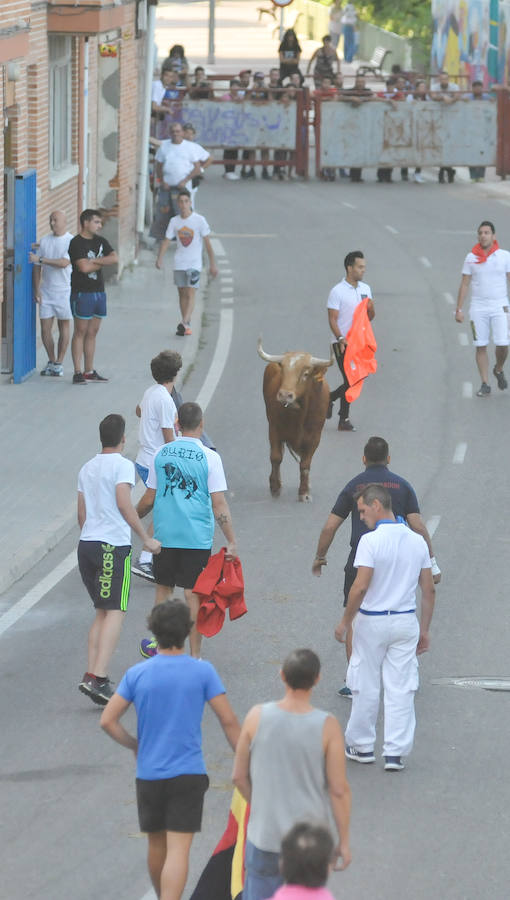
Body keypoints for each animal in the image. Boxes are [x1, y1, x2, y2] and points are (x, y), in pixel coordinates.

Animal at [255, 342, 334, 502]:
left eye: (305, 373)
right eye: (283, 371)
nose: (285, 395)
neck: (299, 414)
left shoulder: (314, 438)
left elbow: (305, 465)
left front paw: (304, 492)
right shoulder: (274, 429)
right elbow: (276, 457)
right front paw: (275, 487)